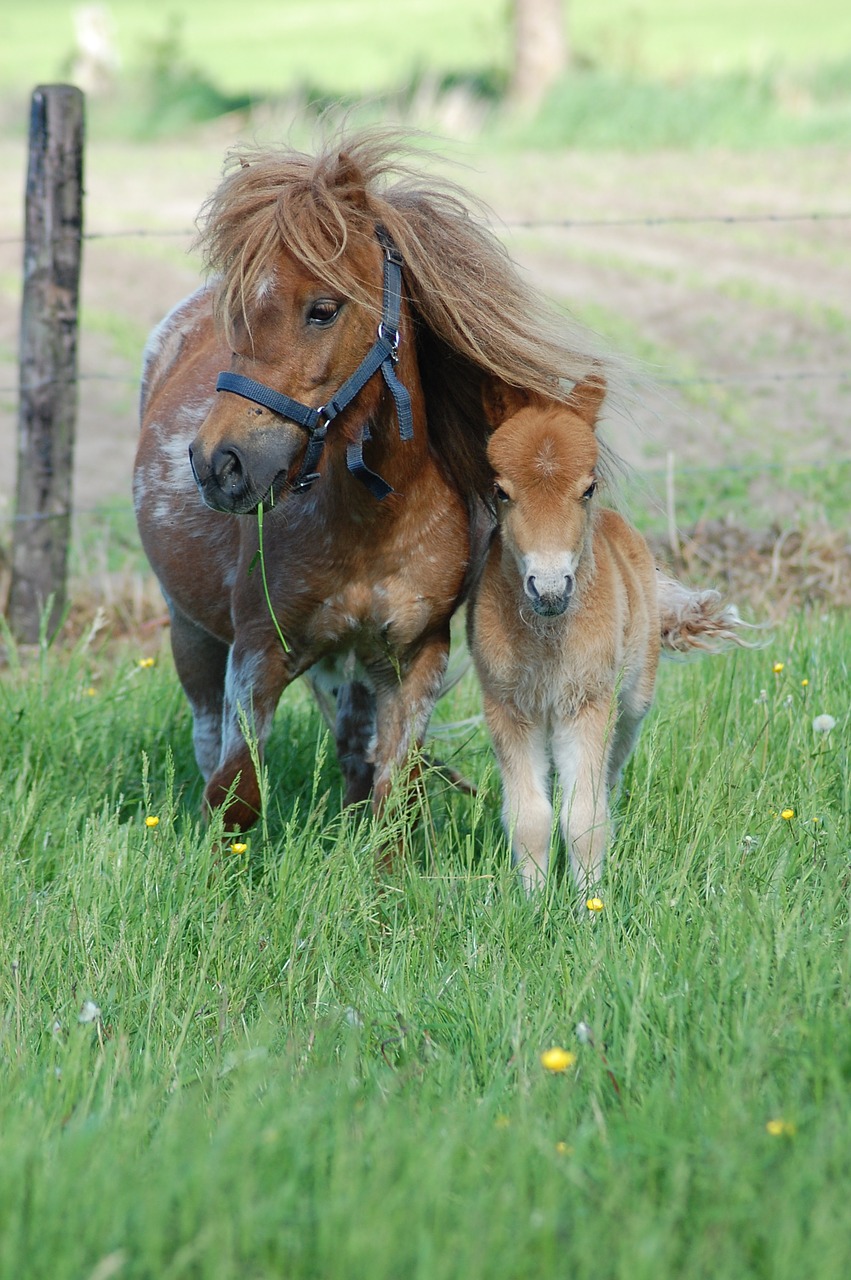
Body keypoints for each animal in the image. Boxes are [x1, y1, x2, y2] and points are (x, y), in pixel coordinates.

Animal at [134, 127, 604, 829]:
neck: (371, 519)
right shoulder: (256, 655)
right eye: (235, 312)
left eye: (323, 310)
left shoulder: (414, 659)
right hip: (192, 632)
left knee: (355, 750)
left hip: (347, 663)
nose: (220, 466)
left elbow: (392, 797)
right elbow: (235, 794)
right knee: (207, 735)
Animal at [468, 373, 747, 896]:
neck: (547, 639)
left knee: (613, 767)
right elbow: (530, 817)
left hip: (632, 698)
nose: (550, 587)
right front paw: (534, 903)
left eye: (588, 487)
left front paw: (590, 906)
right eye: (500, 490)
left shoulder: (588, 705)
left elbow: (585, 819)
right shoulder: (508, 708)